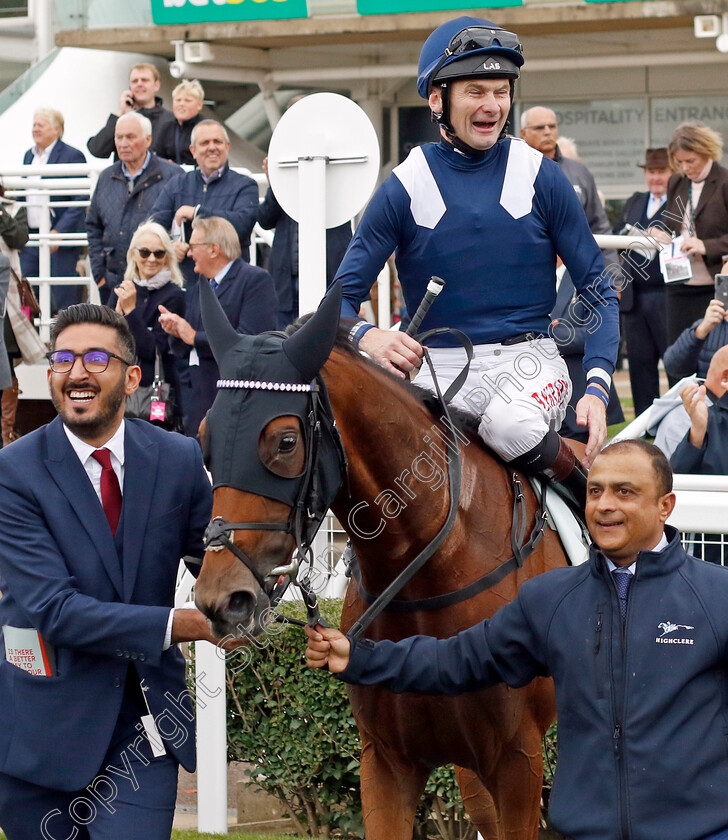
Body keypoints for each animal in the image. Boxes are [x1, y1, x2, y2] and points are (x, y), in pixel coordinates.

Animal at [193, 284, 576, 840]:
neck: (430, 565)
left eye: (285, 442)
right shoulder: (386, 761)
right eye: (204, 437)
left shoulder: (517, 761)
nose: (222, 598)